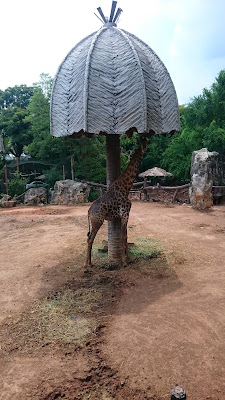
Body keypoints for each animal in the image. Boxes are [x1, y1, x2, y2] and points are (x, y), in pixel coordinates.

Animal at [85, 139, 148, 268]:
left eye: (147, 141)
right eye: (143, 143)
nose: (146, 149)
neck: (126, 187)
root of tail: (88, 211)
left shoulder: (123, 215)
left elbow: (126, 236)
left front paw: (129, 259)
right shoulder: (125, 214)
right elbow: (123, 236)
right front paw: (124, 261)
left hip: (95, 222)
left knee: (89, 238)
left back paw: (90, 263)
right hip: (97, 221)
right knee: (90, 238)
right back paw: (86, 265)